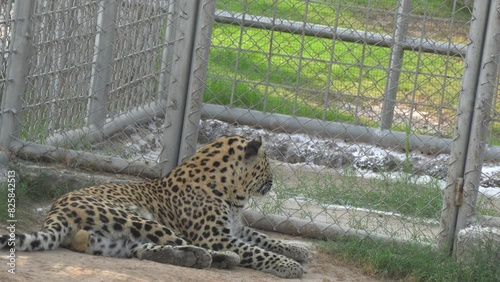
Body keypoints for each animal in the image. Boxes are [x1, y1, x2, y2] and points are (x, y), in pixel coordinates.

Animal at [0, 135, 308, 278]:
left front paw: (297, 250)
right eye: (267, 163)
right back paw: (219, 258)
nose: (273, 181)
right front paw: (288, 265)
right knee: (184, 243)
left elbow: (265, 238)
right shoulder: (217, 236)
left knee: (142, 249)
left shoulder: (236, 228)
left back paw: (191, 258)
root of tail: (55, 212)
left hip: (112, 240)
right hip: (137, 217)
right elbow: (256, 251)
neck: (233, 193)